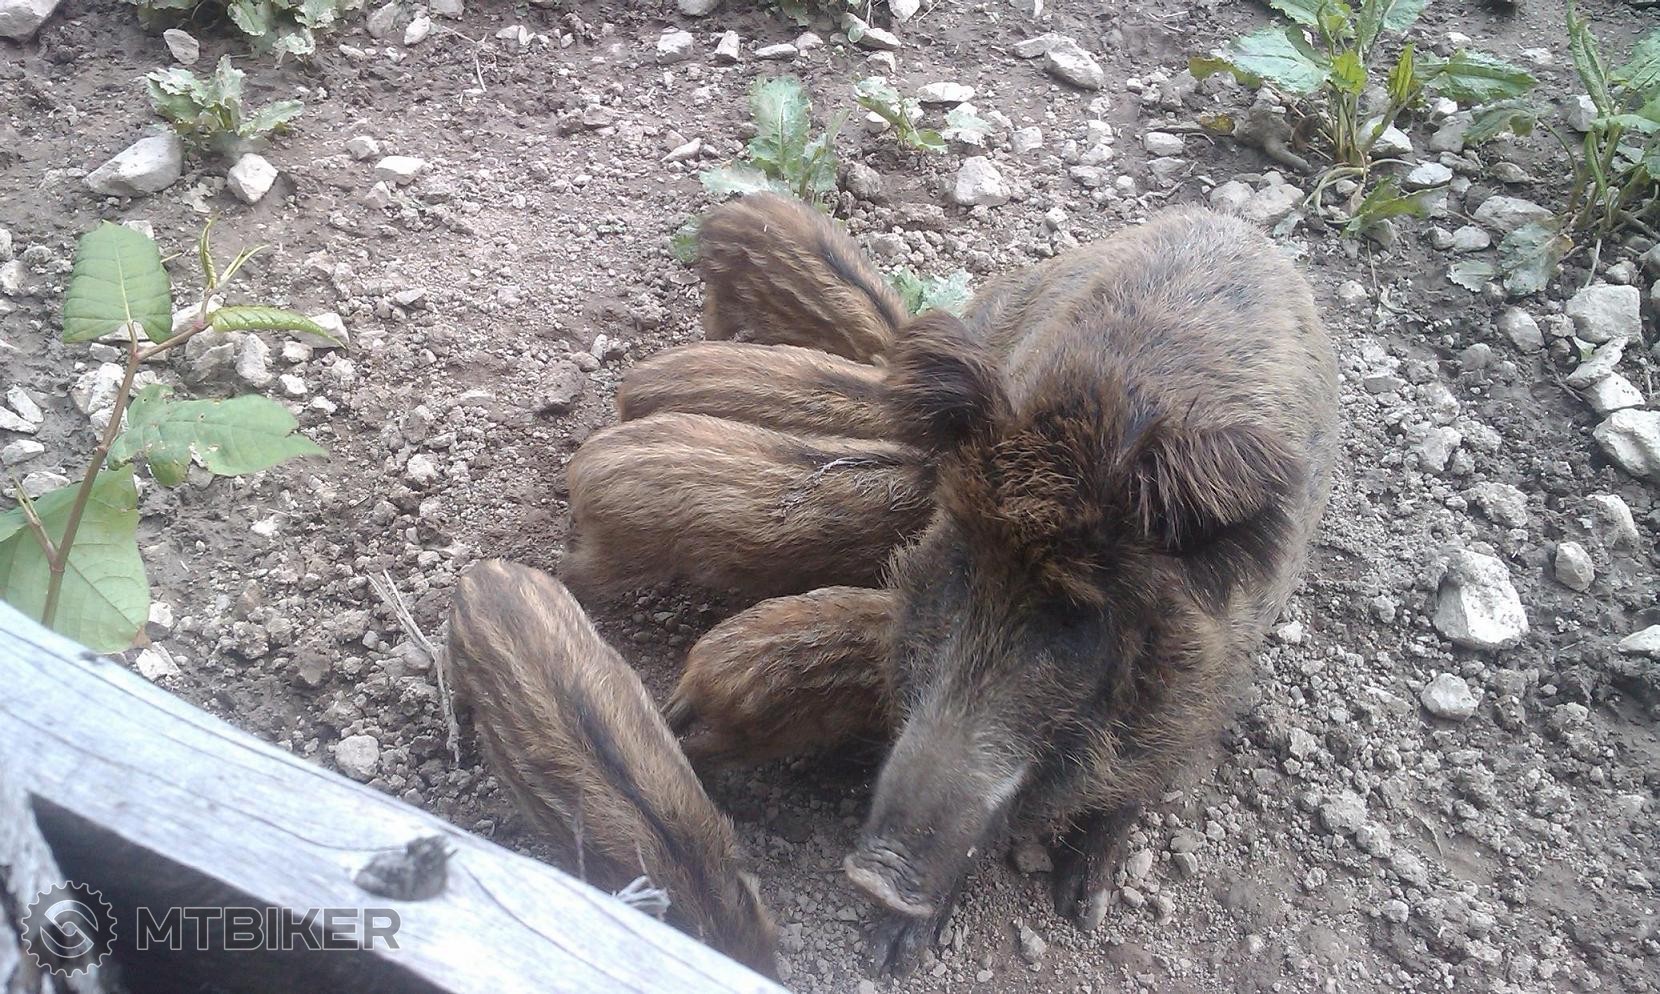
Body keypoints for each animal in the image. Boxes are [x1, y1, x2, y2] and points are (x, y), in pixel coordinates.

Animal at [842, 206, 1341, 974]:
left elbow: (1131, 789)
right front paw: (890, 953)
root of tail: (1238, 226)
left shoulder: (1202, 689)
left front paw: (1085, 910)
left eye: (1078, 618)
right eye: (961, 569)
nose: (873, 875)